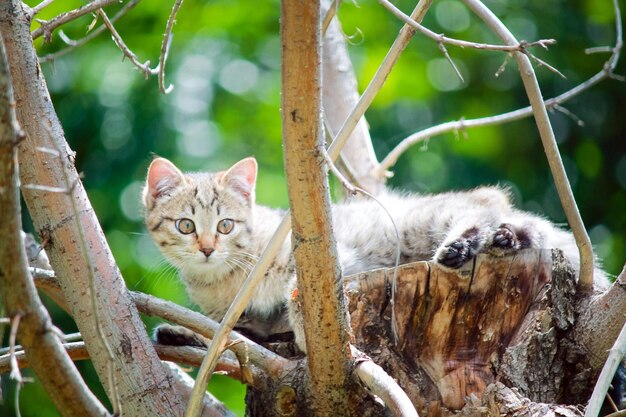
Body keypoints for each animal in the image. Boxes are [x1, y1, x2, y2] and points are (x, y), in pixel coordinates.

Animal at [143, 156, 604, 348]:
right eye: (186, 226)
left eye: (225, 225)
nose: (206, 248)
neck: (224, 280)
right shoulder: (239, 317)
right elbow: (230, 334)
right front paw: (183, 333)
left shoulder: (334, 258)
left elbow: (301, 292)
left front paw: (304, 331)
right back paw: (508, 239)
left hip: (433, 217)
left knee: (484, 206)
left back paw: (465, 244)